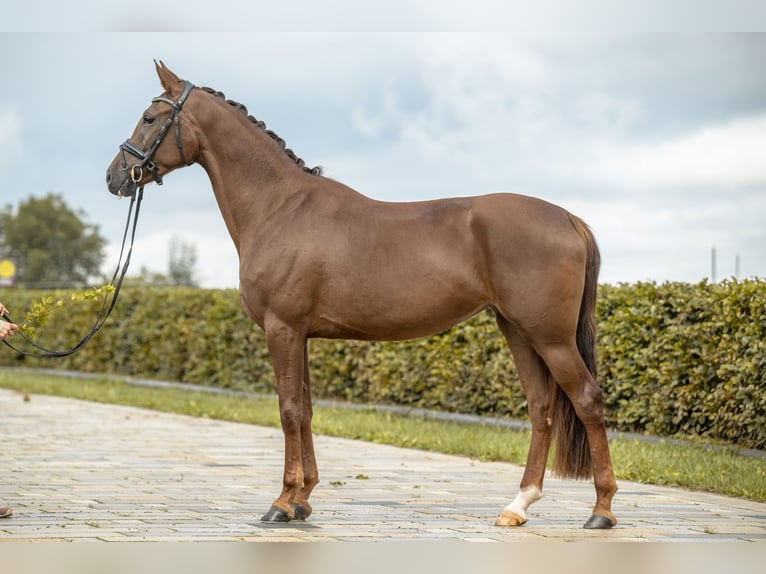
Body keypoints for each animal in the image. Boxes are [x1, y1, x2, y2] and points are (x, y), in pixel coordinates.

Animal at [106, 63, 616, 532]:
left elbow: (288, 411)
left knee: (587, 399)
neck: (278, 208)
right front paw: (303, 500)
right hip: (518, 330)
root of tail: (567, 218)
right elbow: (306, 411)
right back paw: (517, 506)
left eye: (150, 117)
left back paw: (601, 510)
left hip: (549, 337)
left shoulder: (282, 329)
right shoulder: (300, 335)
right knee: (542, 408)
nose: (115, 177)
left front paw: (281, 503)